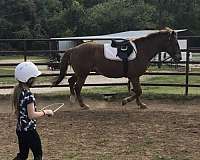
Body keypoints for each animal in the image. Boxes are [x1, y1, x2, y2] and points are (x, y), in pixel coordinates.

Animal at [52, 28, 182, 109]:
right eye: (175, 43)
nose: (179, 57)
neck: (142, 51)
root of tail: (73, 49)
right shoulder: (134, 76)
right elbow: (138, 91)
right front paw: (125, 101)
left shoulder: (135, 77)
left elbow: (138, 91)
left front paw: (140, 105)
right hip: (83, 74)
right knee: (77, 87)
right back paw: (83, 105)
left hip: (80, 72)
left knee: (71, 81)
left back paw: (72, 99)